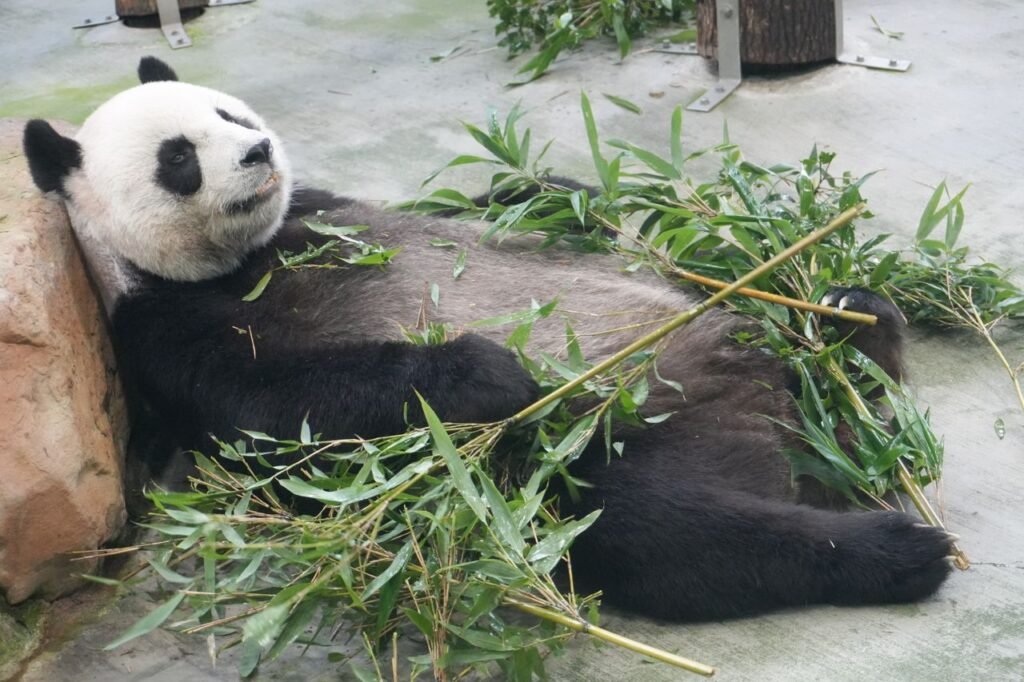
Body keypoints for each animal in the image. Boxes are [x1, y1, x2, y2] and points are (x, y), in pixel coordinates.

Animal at [23, 56, 953, 622]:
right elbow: (278, 408)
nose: (256, 152)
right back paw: (895, 550)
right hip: (620, 448)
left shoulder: (323, 207)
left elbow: (490, 203)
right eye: (179, 157)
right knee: (658, 528)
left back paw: (851, 319)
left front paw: (575, 197)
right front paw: (489, 372)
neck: (239, 258)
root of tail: (794, 423)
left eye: (229, 111)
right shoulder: (158, 327)